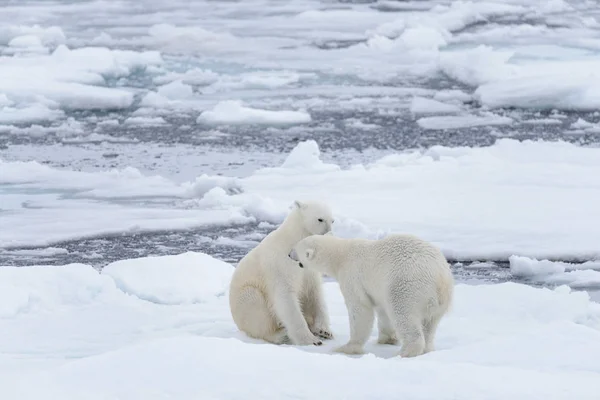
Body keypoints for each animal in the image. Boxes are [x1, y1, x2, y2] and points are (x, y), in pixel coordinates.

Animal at [230, 202, 336, 346]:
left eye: (332, 220)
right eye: (320, 219)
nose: (329, 234)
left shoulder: (308, 270)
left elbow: (313, 293)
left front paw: (324, 331)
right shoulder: (281, 265)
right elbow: (285, 297)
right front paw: (311, 340)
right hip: (243, 301)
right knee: (254, 305)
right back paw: (281, 334)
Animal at [288, 233, 452, 358]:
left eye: (296, 248)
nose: (289, 254)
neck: (341, 255)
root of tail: (440, 278)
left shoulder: (352, 276)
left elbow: (360, 310)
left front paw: (347, 347)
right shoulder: (377, 289)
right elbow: (382, 309)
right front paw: (386, 340)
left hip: (407, 286)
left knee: (404, 315)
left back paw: (405, 352)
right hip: (438, 302)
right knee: (430, 324)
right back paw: (427, 349)